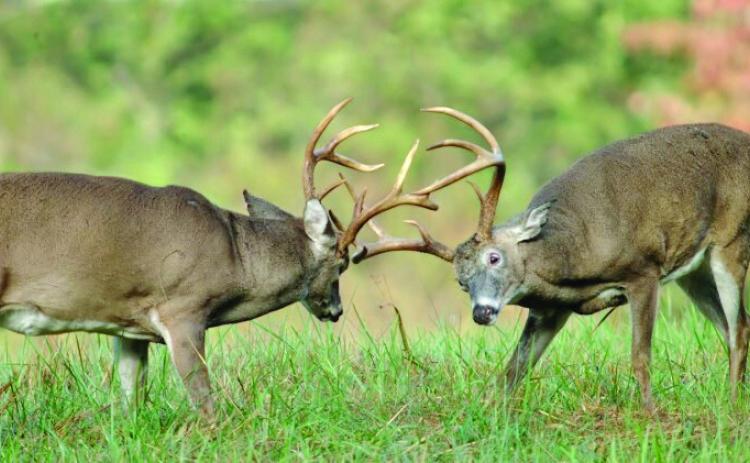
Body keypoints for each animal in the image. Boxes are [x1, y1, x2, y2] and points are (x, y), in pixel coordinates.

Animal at [0, 99, 503, 417]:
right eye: (341, 264)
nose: (336, 310)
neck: (235, 254)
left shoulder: (129, 326)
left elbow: (129, 405)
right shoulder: (183, 308)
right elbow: (205, 405)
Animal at [352, 107, 750, 410]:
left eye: (494, 258)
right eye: (461, 283)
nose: (481, 312)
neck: (574, 261)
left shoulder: (644, 270)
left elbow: (640, 357)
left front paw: (650, 414)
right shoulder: (551, 309)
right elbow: (513, 371)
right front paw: (490, 413)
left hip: (731, 240)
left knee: (739, 328)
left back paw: (731, 406)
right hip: (692, 271)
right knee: (728, 326)